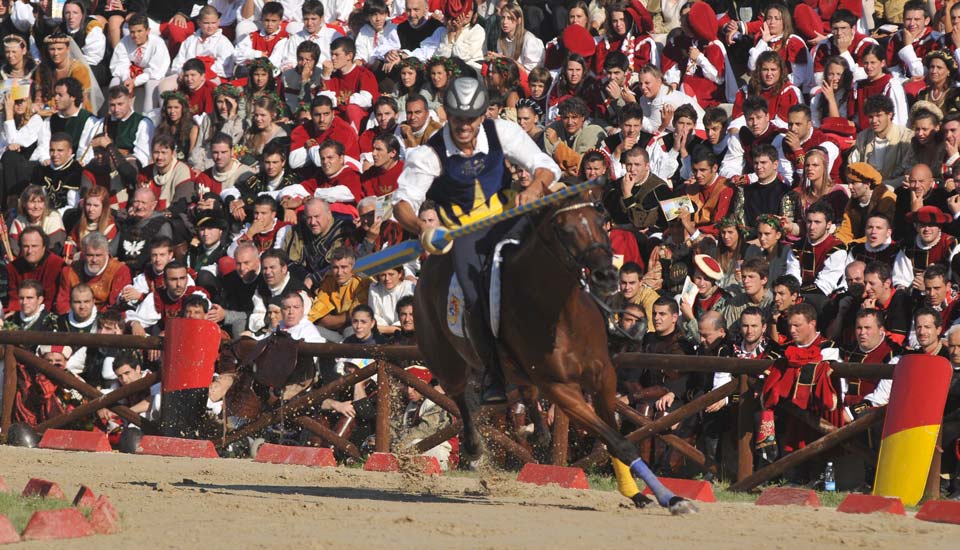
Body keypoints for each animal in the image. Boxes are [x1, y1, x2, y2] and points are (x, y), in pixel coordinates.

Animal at [408, 188, 692, 516]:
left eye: (602, 220)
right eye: (565, 230)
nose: (606, 275)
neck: (560, 312)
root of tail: (428, 267)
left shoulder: (603, 377)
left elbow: (614, 435)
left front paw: (642, 493)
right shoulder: (561, 388)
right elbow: (618, 442)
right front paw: (669, 498)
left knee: (524, 390)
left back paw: (541, 431)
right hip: (446, 360)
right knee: (458, 396)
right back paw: (475, 444)